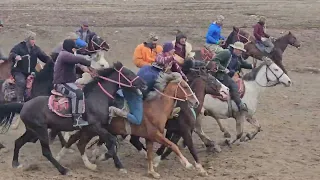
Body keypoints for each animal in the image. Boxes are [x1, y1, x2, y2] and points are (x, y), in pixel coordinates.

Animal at [0, 61, 144, 174]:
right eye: (129, 74)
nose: (144, 84)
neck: (97, 97)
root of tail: (24, 105)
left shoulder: (97, 128)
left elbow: (108, 142)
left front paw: (114, 163)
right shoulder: (95, 126)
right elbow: (111, 141)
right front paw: (108, 159)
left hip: (32, 131)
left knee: (18, 142)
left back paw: (15, 163)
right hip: (40, 131)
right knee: (46, 152)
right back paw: (63, 170)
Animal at [55, 71, 200, 179]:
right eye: (185, 86)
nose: (196, 102)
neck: (157, 108)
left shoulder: (150, 138)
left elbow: (150, 154)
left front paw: (152, 172)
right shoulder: (156, 135)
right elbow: (172, 145)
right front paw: (187, 164)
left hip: (90, 130)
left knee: (77, 140)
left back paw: (62, 157)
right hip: (93, 130)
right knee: (80, 142)